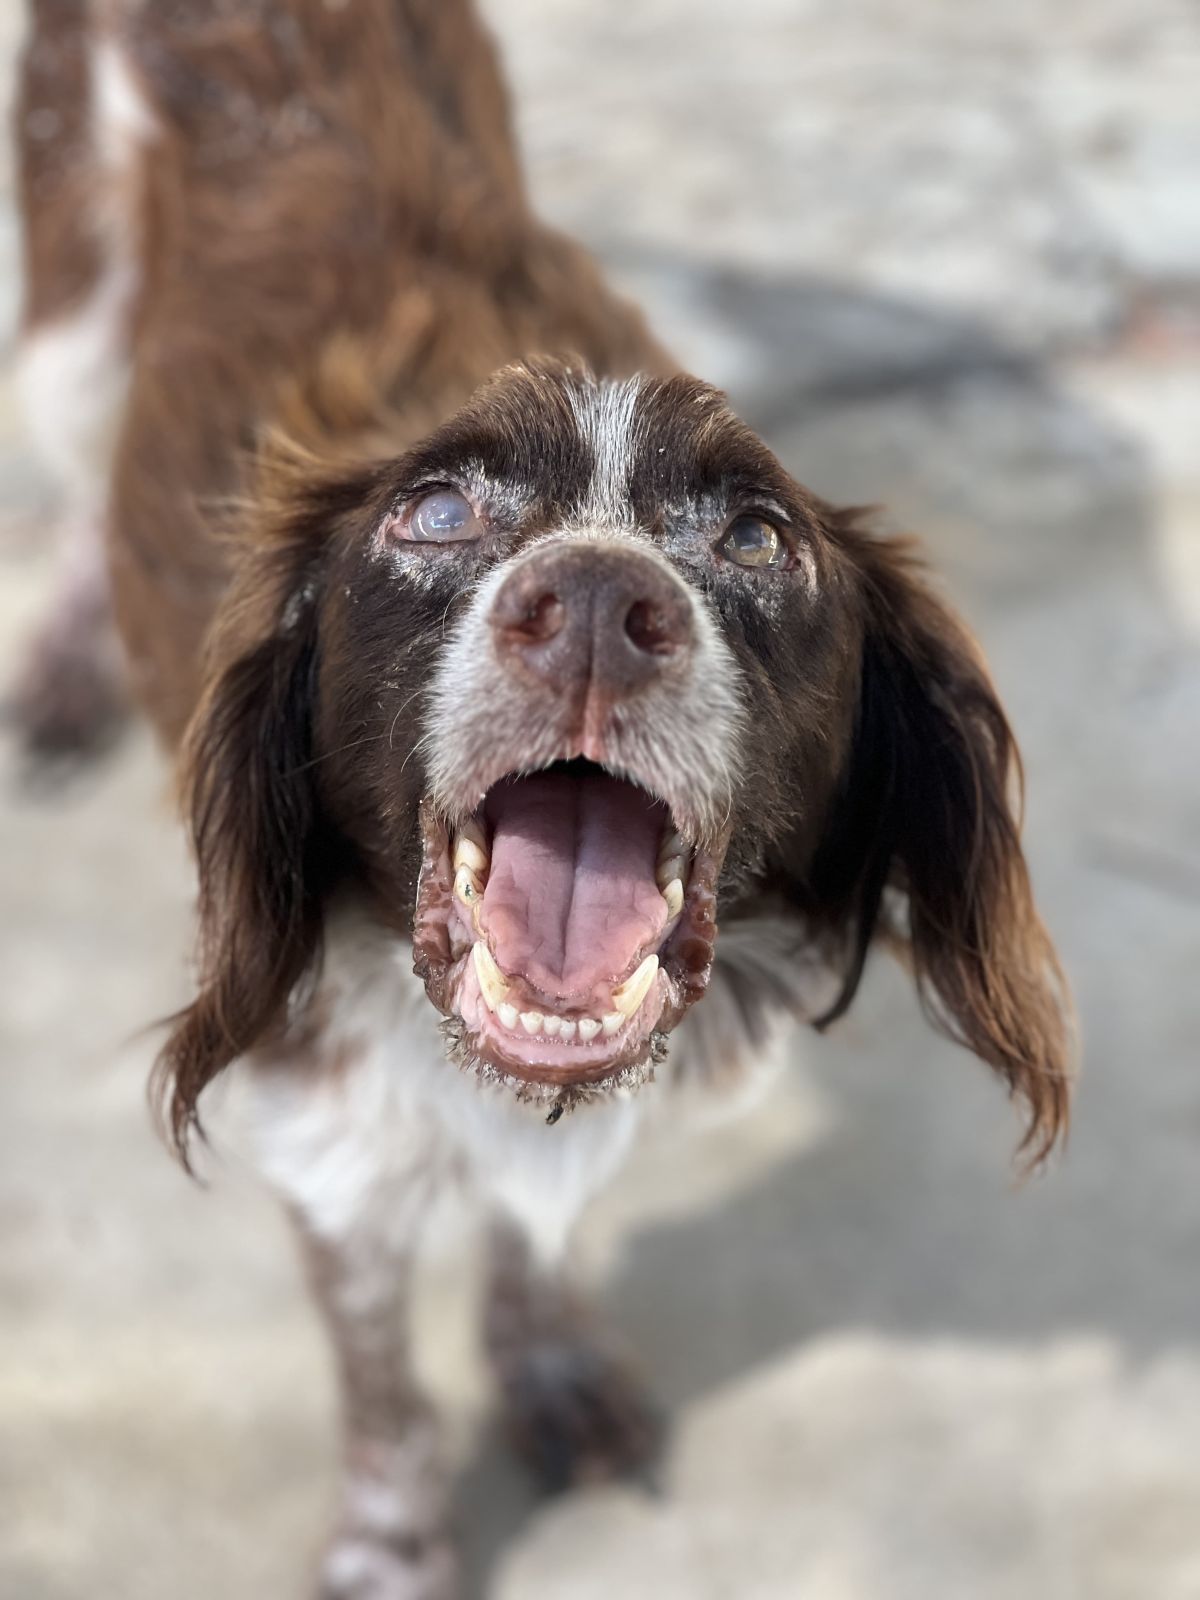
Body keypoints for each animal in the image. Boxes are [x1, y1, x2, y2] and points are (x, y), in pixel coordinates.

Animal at [14, 3, 1071, 1594]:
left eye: (759, 539)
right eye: (435, 513)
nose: (590, 606)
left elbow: (541, 1227)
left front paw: (552, 1367)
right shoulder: (320, 1111)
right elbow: (379, 1368)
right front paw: (392, 1548)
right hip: (69, 327)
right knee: (80, 473)